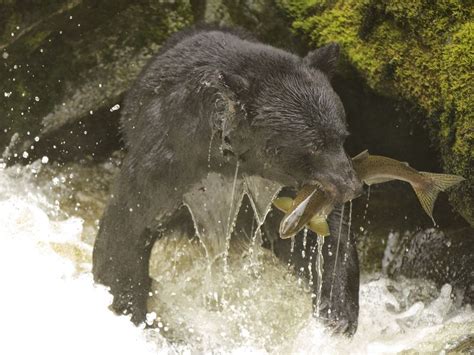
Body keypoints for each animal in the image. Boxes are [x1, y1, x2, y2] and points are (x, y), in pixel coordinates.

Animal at [92, 27, 362, 336]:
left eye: (342, 136)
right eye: (313, 146)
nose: (352, 186)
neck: (229, 163)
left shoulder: (283, 185)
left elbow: (320, 235)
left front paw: (338, 312)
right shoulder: (167, 162)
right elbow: (128, 226)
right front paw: (129, 310)